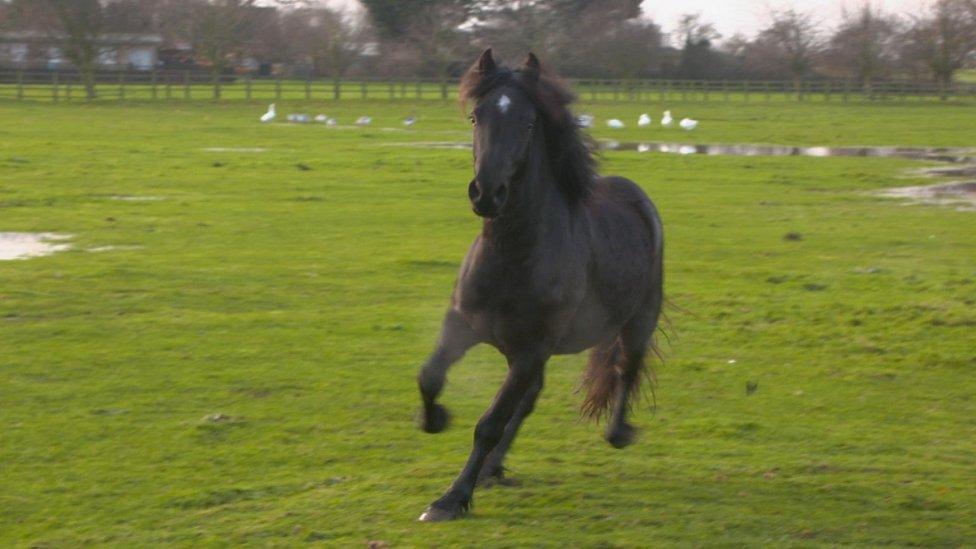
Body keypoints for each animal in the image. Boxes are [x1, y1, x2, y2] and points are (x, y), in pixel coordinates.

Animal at [416, 49, 668, 520]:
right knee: (530, 399)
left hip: (638, 318)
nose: (486, 193)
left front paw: (451, 500)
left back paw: (618, 432)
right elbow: (430, 377)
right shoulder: (463, 327)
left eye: (529, 123)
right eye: (476, 117)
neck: (513, 256)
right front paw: (434, 420)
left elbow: (490, 422)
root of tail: (637, 197)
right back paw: (493, 468)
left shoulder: (532, 350)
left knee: (625, 367)